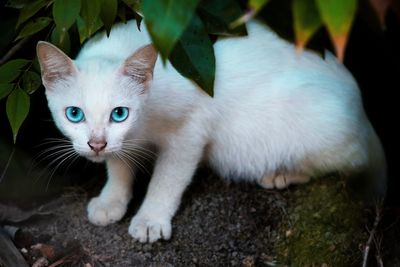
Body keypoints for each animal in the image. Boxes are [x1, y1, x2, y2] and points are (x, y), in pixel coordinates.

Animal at [36, 20, 384, 243]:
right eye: (74, 114)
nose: (96, 143)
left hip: (319, 120)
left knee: (350, 164)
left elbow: (166, 180)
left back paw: (282, 173)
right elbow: (118, 165)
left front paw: (150, 220)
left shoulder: (190, 129)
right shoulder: (122, 143)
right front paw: (112, 201)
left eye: (119, 114)